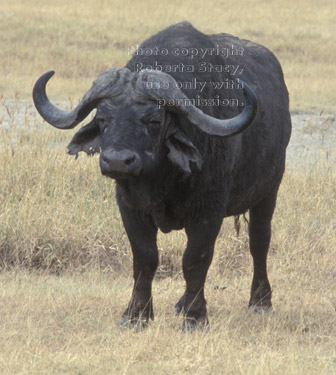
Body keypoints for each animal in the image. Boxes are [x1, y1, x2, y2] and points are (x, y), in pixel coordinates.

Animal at [32, 22, 292, 330]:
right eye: (103, 118)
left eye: (154, 120)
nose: (117, 161)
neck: (163, 182)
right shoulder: (129, 207)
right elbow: (145, 259)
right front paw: (136, 315)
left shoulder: (210, 209)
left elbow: (195, 259)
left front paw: (195, 316)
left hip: (269, 191)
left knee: (259, 241)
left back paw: (260, 301)